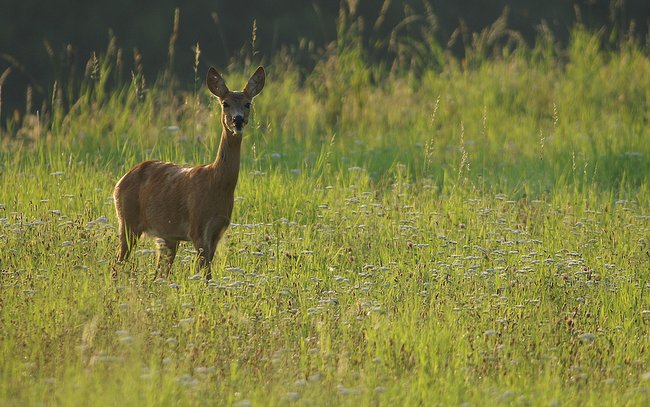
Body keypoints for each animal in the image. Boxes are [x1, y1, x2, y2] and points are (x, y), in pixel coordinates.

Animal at [112, 67, 264, 284]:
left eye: (248, 103)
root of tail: (120, 181)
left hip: (165, 236)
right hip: (127, 220)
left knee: (159, 273)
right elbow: (206, 275)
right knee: (117, 263)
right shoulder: (198, 227)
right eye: (225, 103)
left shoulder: (217, 231)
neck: (217, 183)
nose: (238, 119)